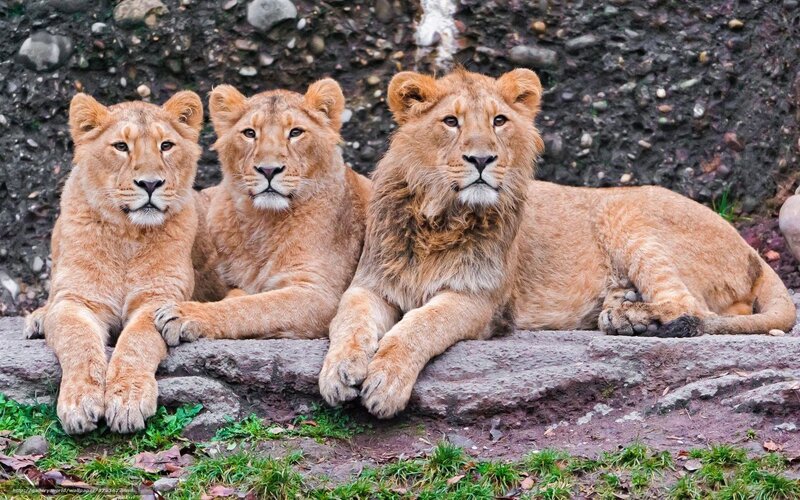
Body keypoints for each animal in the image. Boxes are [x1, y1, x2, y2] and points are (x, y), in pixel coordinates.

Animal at [23, 91, 205, 434]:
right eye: (121, 146)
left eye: (166, 145)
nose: (150, 184)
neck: (128, 236)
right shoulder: (77, 299)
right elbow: (79, 342)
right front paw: (80, 403)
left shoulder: (158, 298)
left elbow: (137, 342)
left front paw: (127, 400)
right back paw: (38, 318)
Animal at [153, 79, 371, 343]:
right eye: (250, 133)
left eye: (295, 132)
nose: (268, 170)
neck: (263, 221)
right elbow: (244, 299)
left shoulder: (322, 295)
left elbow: (255, 306)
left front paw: (184, 314)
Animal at [318, 68, 796, 419]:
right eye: (450, 122)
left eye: (499, 121)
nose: (481, 159)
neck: (440, 217)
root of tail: (750, 248)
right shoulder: (370, 284)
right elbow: (347, 321)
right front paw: (339, 373)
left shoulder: (479, 299)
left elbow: (418, 327)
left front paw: (384, 383)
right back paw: (622, 310)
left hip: (624, 209)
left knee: (693, 309)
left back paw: (633, 320)